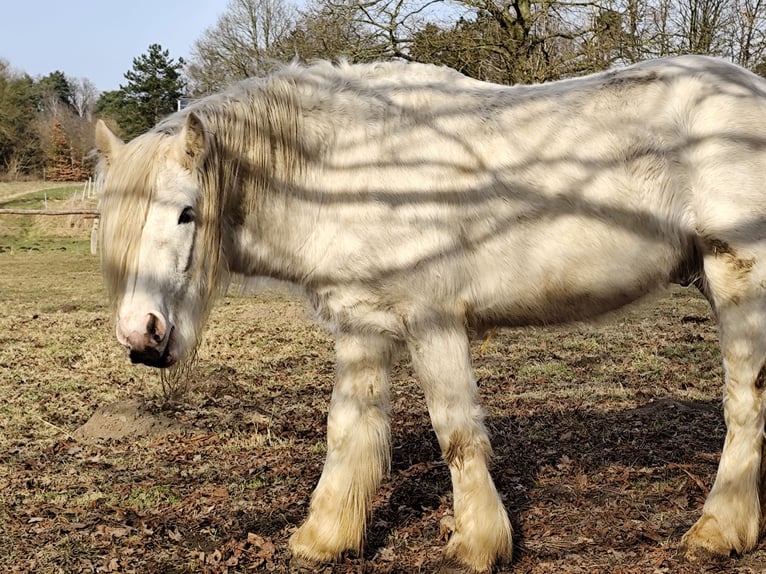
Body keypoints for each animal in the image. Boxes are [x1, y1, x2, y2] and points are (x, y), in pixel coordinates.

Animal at [97, 55, 766, 574]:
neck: (357, 170)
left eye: (186, 212)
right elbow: (350, 432)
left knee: (744, 403)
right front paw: (324, 538)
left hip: (738, 280)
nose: (141, 334)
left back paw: (717, 531)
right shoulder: (361, 326)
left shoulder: (433, 322)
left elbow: (457, 433)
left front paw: (476, 543)